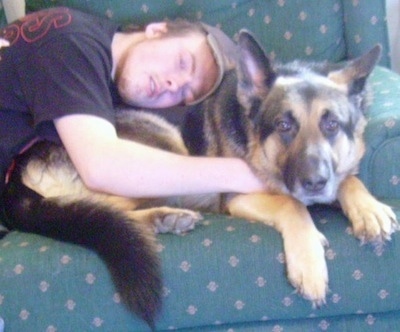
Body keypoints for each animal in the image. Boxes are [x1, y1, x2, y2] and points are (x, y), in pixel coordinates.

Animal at [2, 31, 396, 326]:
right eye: (284, 125)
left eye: (332, 125)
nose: (315, 183)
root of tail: (20, 165)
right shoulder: (241, 194)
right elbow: (291, 204)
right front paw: (310, 263)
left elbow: (347, 178)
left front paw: (368, 208)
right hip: (157, 146)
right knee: (97, 208)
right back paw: (162, 217)